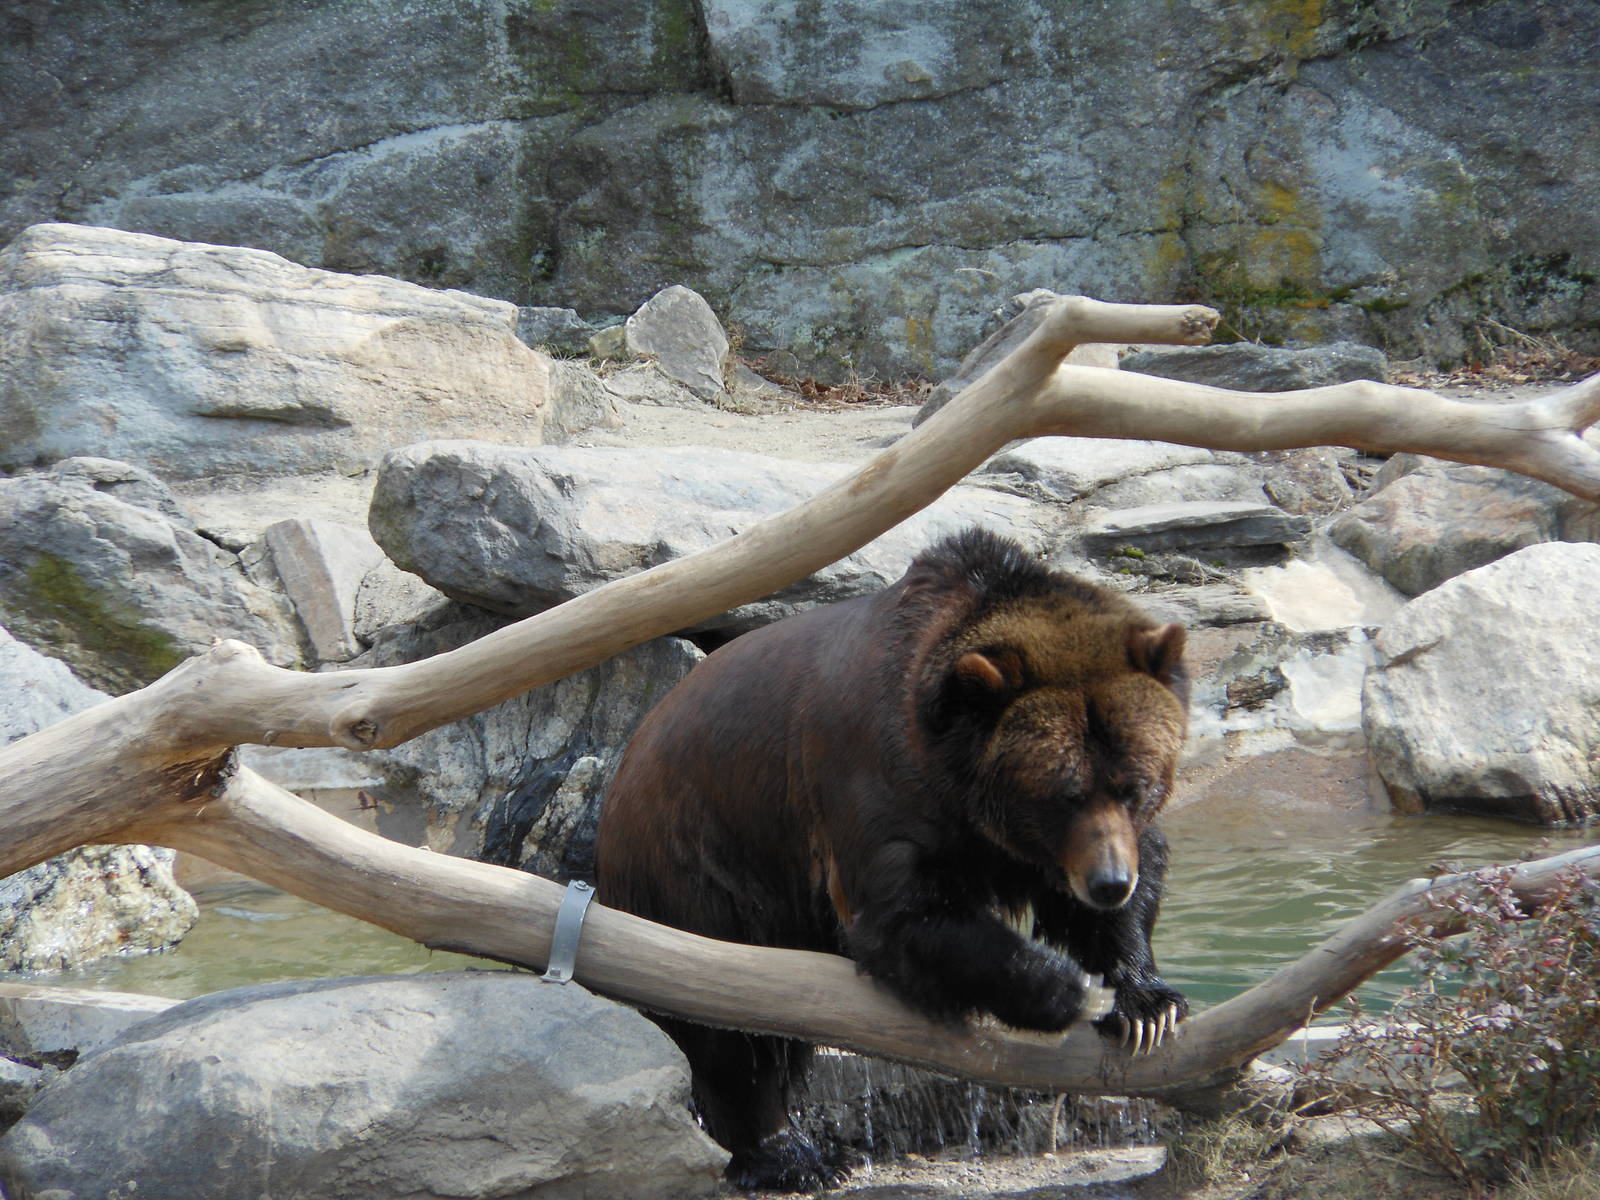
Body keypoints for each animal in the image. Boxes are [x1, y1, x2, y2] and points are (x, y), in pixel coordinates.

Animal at [595, 528, 1189, 1191]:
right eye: (1065, 792)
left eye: (1133, 785)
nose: (1110, 882)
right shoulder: (874, 786)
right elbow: (904, 918)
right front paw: (1069, 987)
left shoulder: (1035, 847)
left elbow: (1104, 897)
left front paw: (1146, 1004)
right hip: (696, 868)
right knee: (728, 1029)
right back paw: (792, 1154)